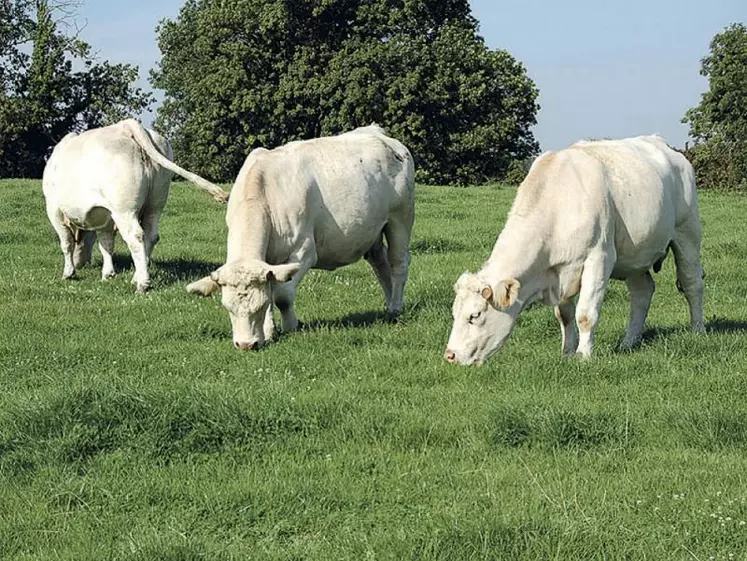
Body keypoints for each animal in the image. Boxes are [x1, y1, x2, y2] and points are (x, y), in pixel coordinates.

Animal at [43, 119, 228, 294]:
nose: (81, 264)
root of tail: (126, 125)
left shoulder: (53, 208)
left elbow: (66, 241)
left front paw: (68, 273)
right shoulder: (105, 215)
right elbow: (106, 244)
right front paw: (107, 274)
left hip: (124, 210)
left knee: (136, 237)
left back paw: (142, 284)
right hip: (155, 204)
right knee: (151, 236)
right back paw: (136, 276)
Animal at [187, 124, 418, 348]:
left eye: (258, 307)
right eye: (228, 308)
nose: (245, 344)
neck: (264, 194)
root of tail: (378, 132)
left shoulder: (304, 252)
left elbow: (282, 296)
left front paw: (290, 326)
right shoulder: (269, 263)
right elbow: (272, 290)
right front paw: (269, 333)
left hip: (400, 218)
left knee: (398, 263)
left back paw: (396, 307)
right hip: (373, 231)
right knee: (380, 263)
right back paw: (388, 303)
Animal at [444, 134, 708, 366]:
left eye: (475, 315)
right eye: (454, 313)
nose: (450, 355)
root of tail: (665, 146)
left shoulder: (599, 258)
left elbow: (585, 314)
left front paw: (583, 355)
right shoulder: (559, 272)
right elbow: (565, 315)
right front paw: (567, 352)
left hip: (687, 232)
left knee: (692, 283)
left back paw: (698, 330)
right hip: (635, 255)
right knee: (642, 292)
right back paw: (629, 342)